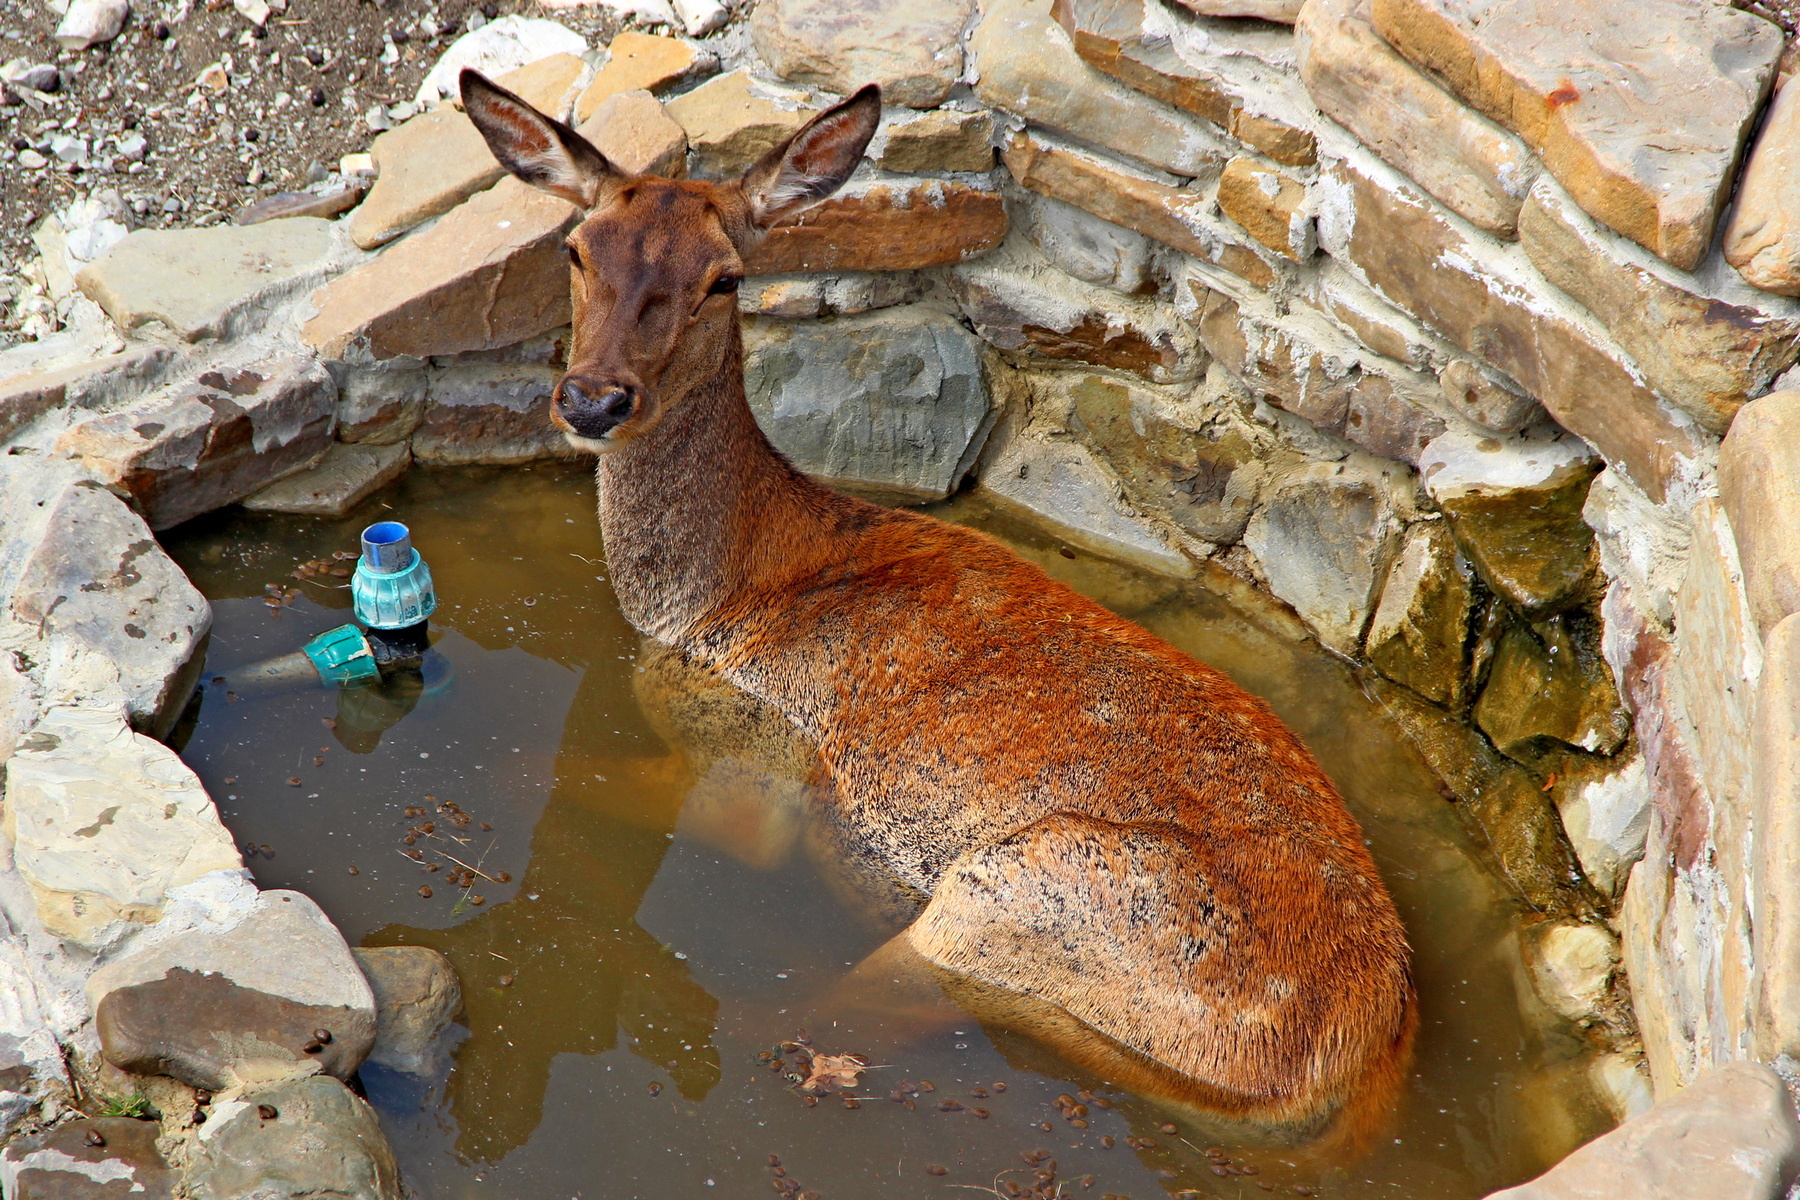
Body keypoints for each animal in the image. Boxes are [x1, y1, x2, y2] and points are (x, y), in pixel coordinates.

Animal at [459, 68, 1417, 1150]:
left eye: (726, 278)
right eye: (575, 250)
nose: (592, 400)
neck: (711, 599)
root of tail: (1359, 1064)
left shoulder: (753, 767)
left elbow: (531, 766)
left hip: (1022, 905)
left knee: (793, 1023)